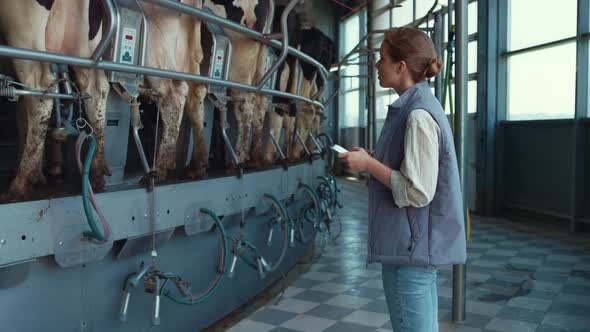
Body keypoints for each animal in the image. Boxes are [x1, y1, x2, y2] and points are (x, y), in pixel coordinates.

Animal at [0, 0, 111, 200]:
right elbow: (22, 119)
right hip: (86, 44)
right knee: (96, 88)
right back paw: (97, 174)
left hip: (22, 29)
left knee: (39, 85)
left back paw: (20, 184)